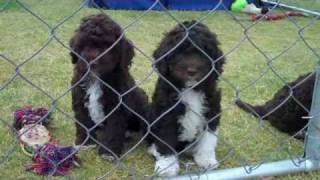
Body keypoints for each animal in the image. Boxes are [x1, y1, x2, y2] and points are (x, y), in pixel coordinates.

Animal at [69, 13, 149, 160]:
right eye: (84, 44)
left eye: (107, 46)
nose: (92, 62)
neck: (97, 79)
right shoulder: (79, 99)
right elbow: (83, 121)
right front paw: (85, 142)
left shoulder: (116, 107)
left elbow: (113, 129)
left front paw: (108, 152)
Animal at [148, 20, 225, 176]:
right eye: (178, 51)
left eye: (203, 52)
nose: (192, 71)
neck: (190, 88)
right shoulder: (166, 115)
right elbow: (166, 139)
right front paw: (167, 166)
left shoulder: (212, 109)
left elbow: (208, 138)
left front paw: (206, 159)